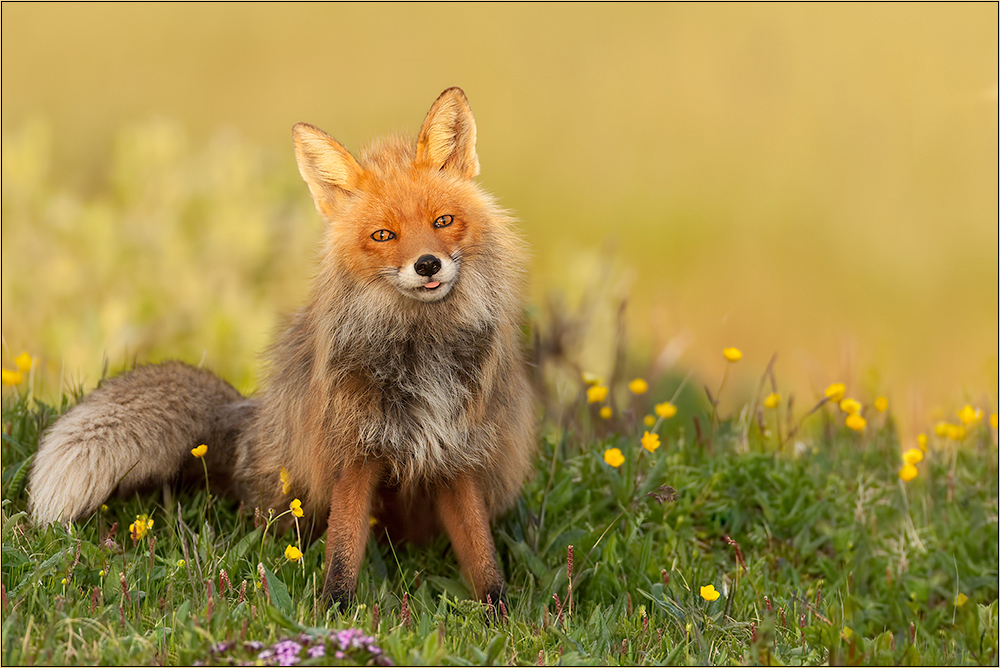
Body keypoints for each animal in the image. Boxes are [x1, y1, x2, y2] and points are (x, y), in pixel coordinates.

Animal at [27, 88, 536, 612]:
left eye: (443, 221)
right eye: (383, 235)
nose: (427, 264)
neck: (423, 354)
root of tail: (248, 420)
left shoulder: (457, 454)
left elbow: (482, 557)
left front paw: (500, 617)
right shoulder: (353, 455)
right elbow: (343, 554)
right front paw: (334, 616)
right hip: (288, 497)